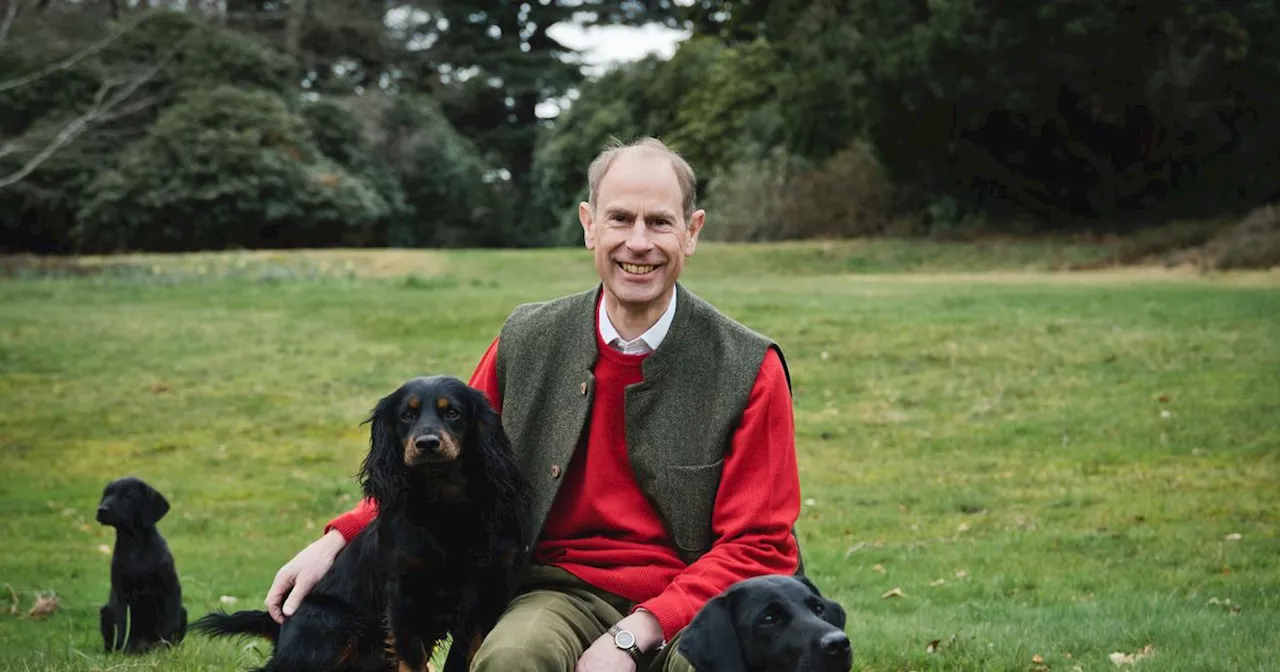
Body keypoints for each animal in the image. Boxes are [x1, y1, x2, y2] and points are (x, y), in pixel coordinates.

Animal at [97, 473, 186, 652]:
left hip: (183, 611)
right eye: (107, 494)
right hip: (105, 610)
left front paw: (165, 649)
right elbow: (121, 626)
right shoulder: (119, 593)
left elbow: (168, 625)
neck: (134, 545)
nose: (101, 510)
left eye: (128, 495)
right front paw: (122, 651)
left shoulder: (171, 588)